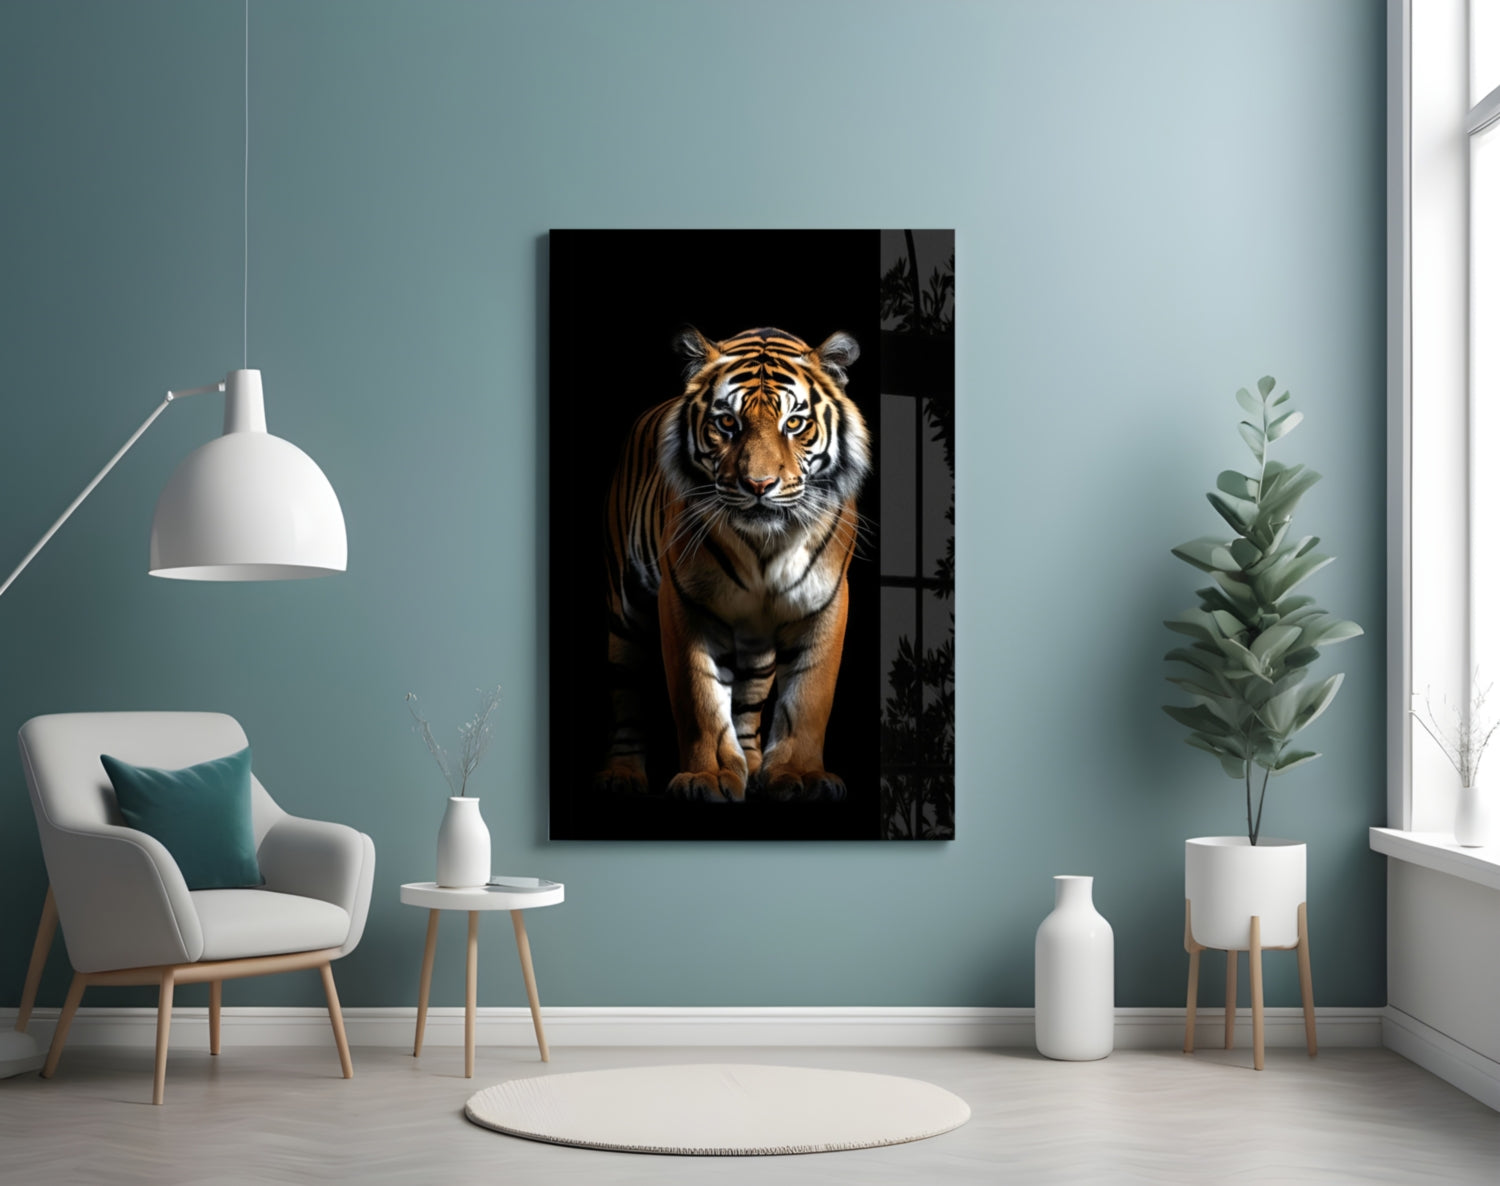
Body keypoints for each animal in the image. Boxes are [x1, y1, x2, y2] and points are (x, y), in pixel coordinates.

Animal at [596, 326, 871, 803]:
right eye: (727, 423)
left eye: (794, 423)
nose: (759, 485)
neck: (767, 546)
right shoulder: (684, 601)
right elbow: (699, 698)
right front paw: (706, 777)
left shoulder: (825, 600)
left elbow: (809, 696)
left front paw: (800, 775)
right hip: (626, 611)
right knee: (627, 695)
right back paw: (623, 776)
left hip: (756, 641)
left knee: (748, 700)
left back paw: (754, 767)